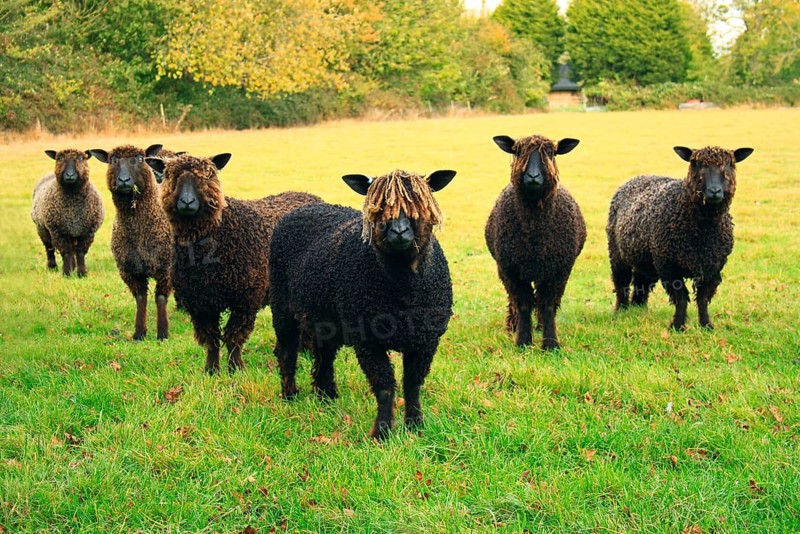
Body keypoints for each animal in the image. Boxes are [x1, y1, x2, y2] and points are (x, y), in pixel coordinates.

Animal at [89, 144, 172, 341]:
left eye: (140, 159)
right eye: (112, 160)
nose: (124, 180)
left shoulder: (165, 267)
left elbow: (160, 298)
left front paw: (162, 333)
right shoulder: (130, 270)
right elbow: (141, 299)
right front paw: (139, 333)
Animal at [146, 153, 323, 374]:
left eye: (207, 176)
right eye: (172, 177)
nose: (187, 202)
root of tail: (311, 196)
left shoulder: (246, 297)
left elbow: (234, 335)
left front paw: (236, 368)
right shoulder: (200, 302)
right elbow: (211, 338)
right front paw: (211, 371)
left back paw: (305, 350)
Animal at [269, 168, 456, 440]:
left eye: (418, 204)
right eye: (378, 208)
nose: (399, 232)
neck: (404, 293)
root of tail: (305, 207)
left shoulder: (426, 340)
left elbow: (413, 384)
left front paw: (415, 425)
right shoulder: (368, 339)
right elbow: (385, 385)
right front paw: (382, 432)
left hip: (325, 317)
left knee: (324, 353)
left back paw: (326, 395)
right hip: (282, 306)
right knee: (287, 350)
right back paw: (289, 394)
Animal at [485, 134, 585, 350]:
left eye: (551, 153)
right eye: (518, 152)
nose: (532, 177)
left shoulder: (558, 271)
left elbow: (547, 305)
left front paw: (550, 343)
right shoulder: (511, 270)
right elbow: (523, 304)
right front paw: (523, 341)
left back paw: (539, 325)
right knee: (514, 300)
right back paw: (513, 326)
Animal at [606, 145, 754, 330]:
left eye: (731, 165)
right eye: (695, 163)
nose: (714, 191)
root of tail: (639, 176)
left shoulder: (712, 267)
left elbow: (703, 298)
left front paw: (706, 325)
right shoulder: (669, 266)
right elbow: (681, 297)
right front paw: (678, 326)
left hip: (646, 258)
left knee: (641, 282)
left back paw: (639, 309)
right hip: (617, 253)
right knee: (621, 281)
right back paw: (621, 310)